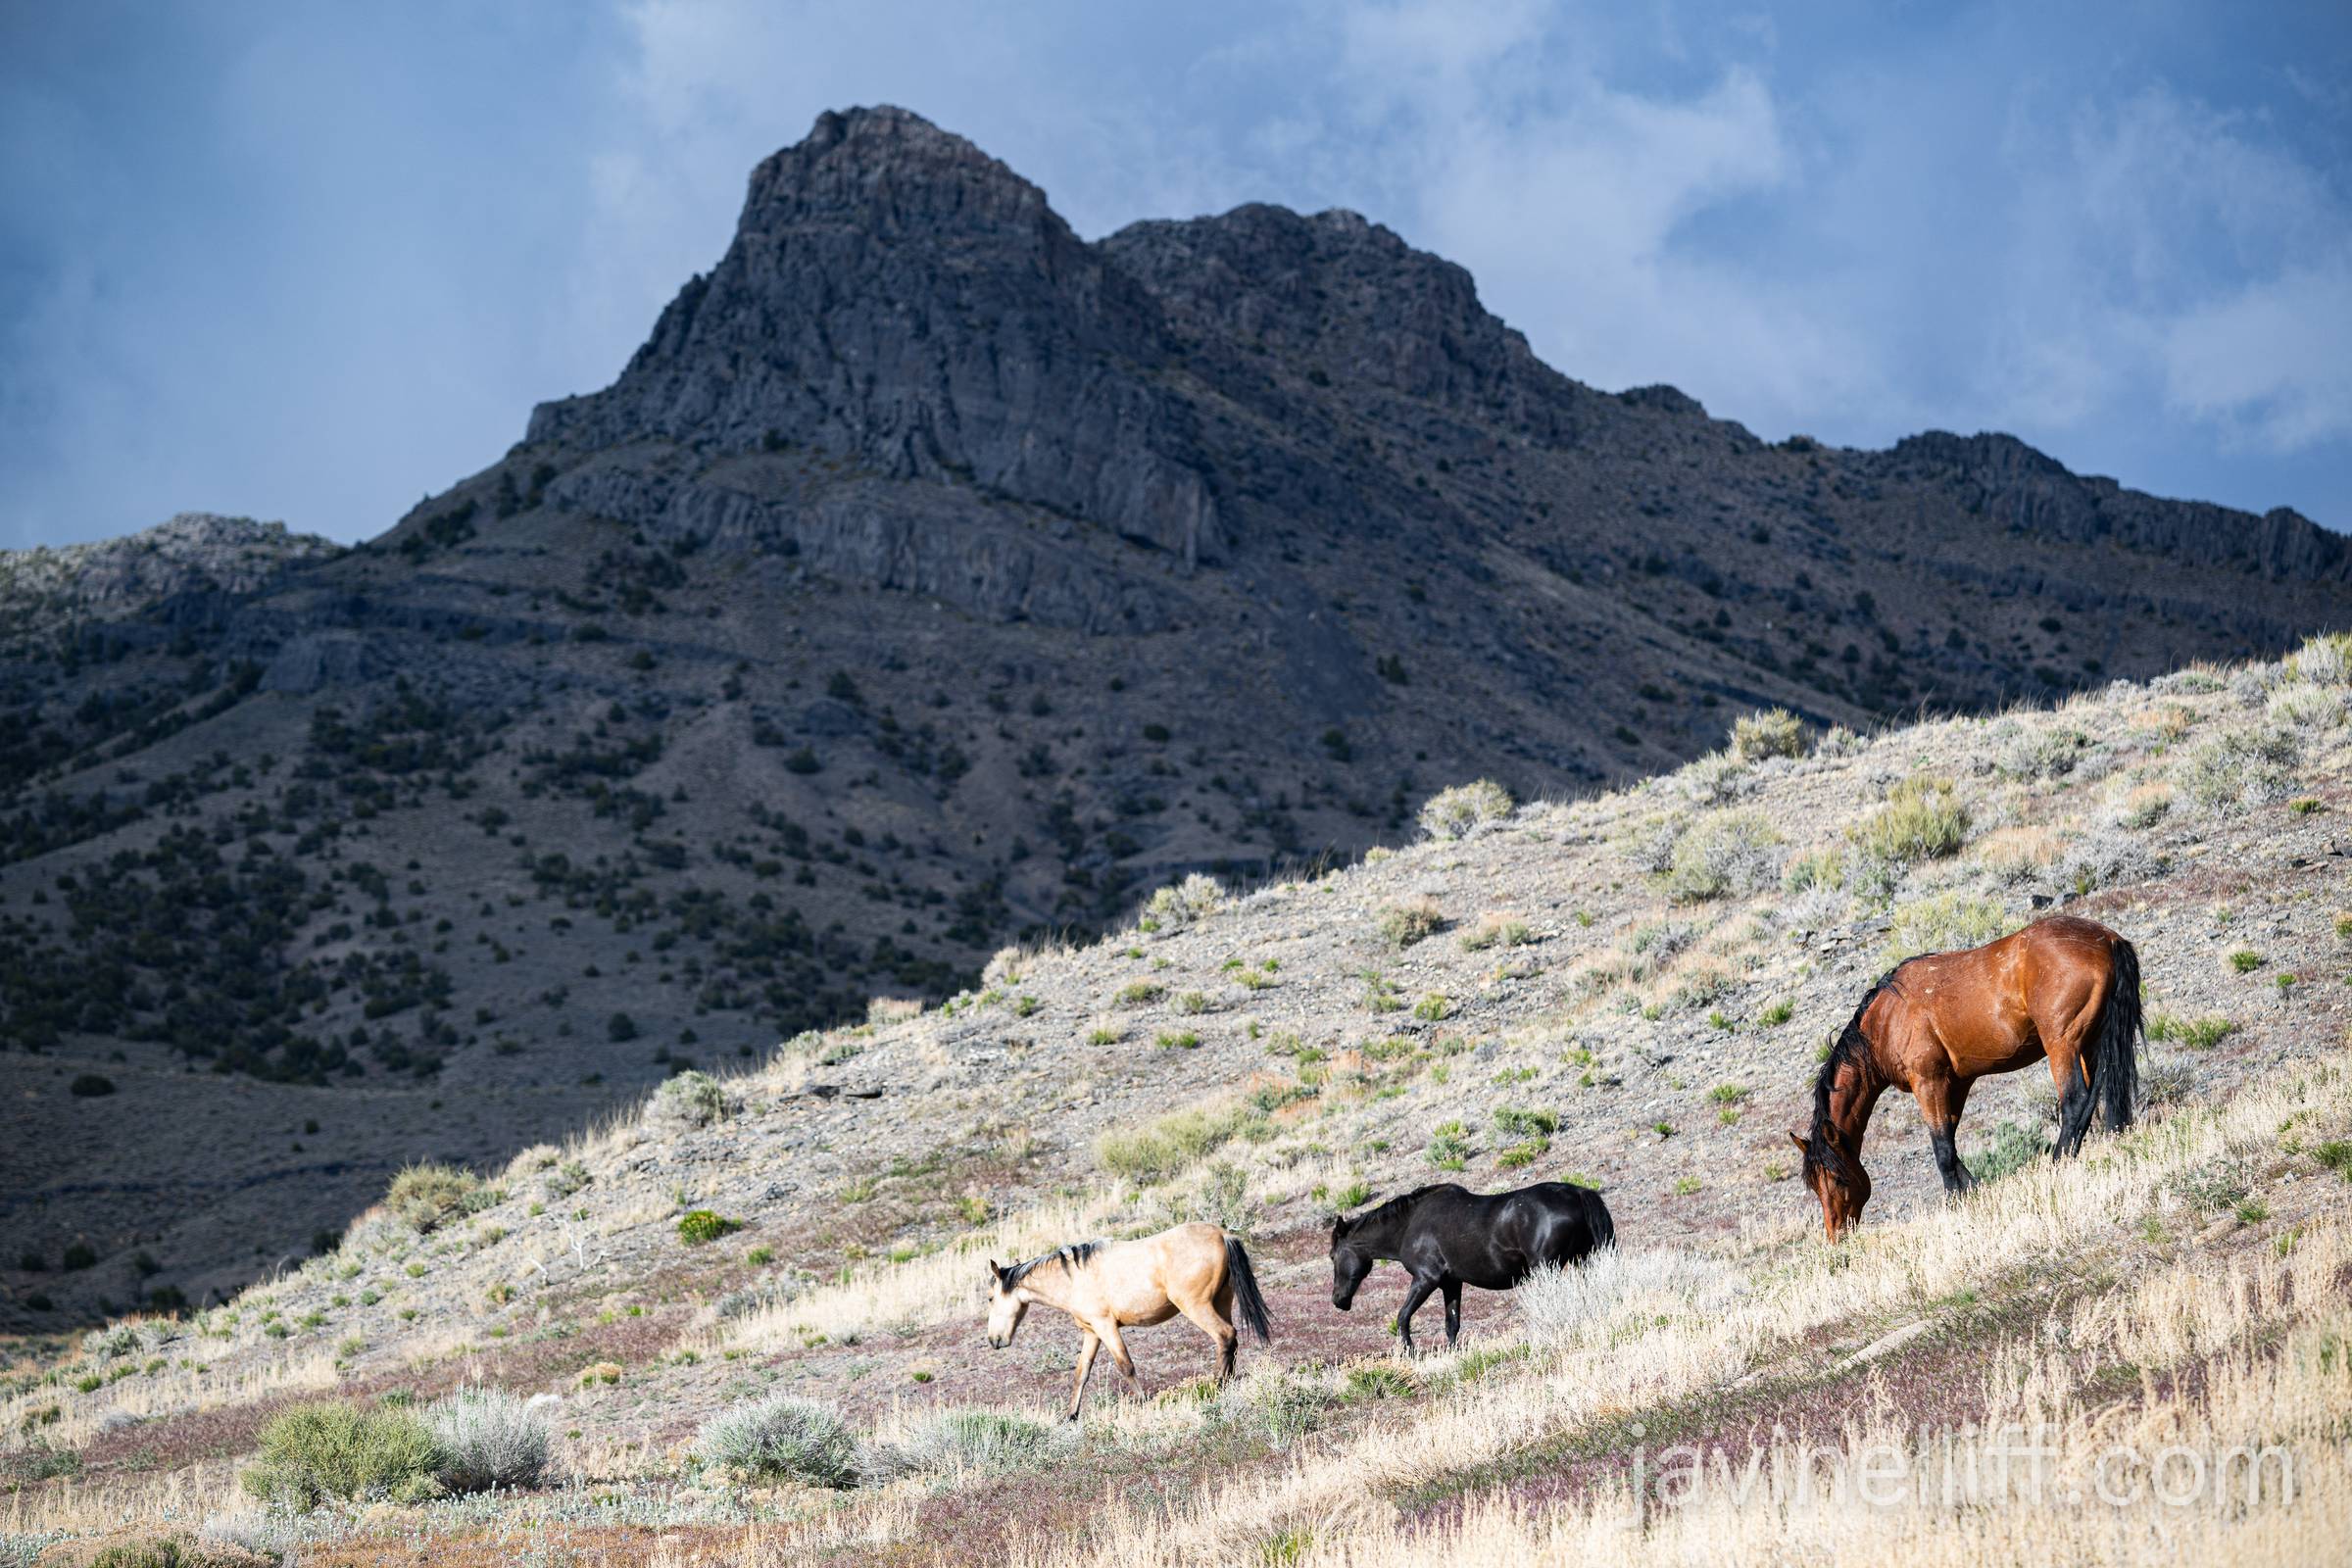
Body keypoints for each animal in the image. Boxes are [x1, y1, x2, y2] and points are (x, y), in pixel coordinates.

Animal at [984, 1221, 1270, 1421]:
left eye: (989, 1298)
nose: (994, 1340)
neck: (1074, 1278)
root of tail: (1222, 1235)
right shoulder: (1092, 1332)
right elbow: (1081, 1373)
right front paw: (1070, 1416)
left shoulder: (1106, 1326)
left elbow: (1126, 1366)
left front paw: (1144, 1402)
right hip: (1221, 1301)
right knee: (1231, 1341)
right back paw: (1226, 1384)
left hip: (1196, 1306)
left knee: (1224, 1335)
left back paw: (1216, 1385)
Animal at [1328, 1181, 1615, 1355]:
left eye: (1332, 1257)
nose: (1338, 1300)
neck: (1410, 1225)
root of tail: (1577, 1193)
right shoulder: (1451, 1283)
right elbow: (1451, 1323)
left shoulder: (1426, 1279)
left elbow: (1403, 1317)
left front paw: (1410, 1353)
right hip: (1586, 1260)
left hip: (1548, 1268)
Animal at [1791, 913, 2142, 1240]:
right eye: (1814, 1185)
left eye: (1837, 1178)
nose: (1836, 1234)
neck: (1885, 1021)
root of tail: (2107, 940)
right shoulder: (1955, 1083)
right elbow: (1951, 1141)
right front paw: (1973, 1191)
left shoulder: (1928, 1082)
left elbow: (1942, 1148)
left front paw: (1955, 1202)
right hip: (2091, 1044)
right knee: (2102, 1097)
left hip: (2062, 1044)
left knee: (2074, 1101)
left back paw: (2056, 1164)